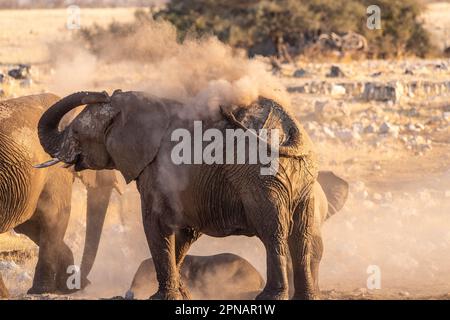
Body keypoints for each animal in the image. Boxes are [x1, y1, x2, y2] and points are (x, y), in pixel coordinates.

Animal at [0, 94, 121, 298]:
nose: (84, 283)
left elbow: (34, 226)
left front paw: (67, 287)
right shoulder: (54, 171)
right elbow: (55, 215)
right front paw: (43, 290)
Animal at [36, 90, 320, 300]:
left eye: (76, 133)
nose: (104, 93)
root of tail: (290, 129)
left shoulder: (157, 172)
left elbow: (155, 224)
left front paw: (162, 297)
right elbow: (184, 233)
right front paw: (181, 294)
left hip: (259, 177)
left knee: (273, 232)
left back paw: (270, 297)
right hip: (304, 180)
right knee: (302, 236)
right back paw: (306, 297)